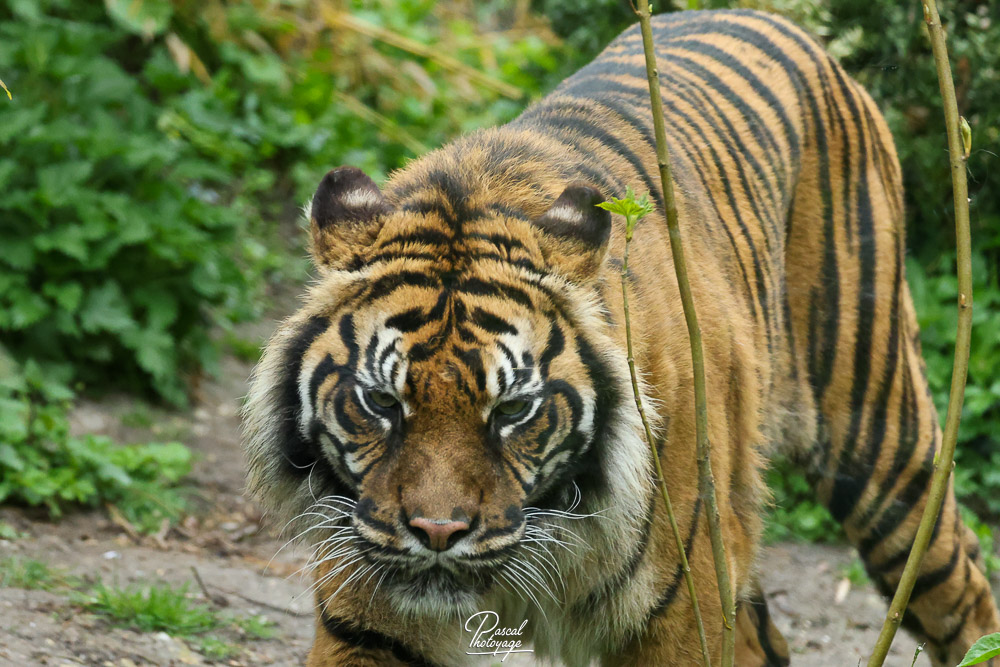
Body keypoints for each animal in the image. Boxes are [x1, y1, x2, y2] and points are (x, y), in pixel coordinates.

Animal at [242, 9, 1000, 666]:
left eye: (513, 410)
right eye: (380, 402)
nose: (436, 534)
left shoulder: (685, 610)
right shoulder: (370, 616)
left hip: (878, 438)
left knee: (960, 589)